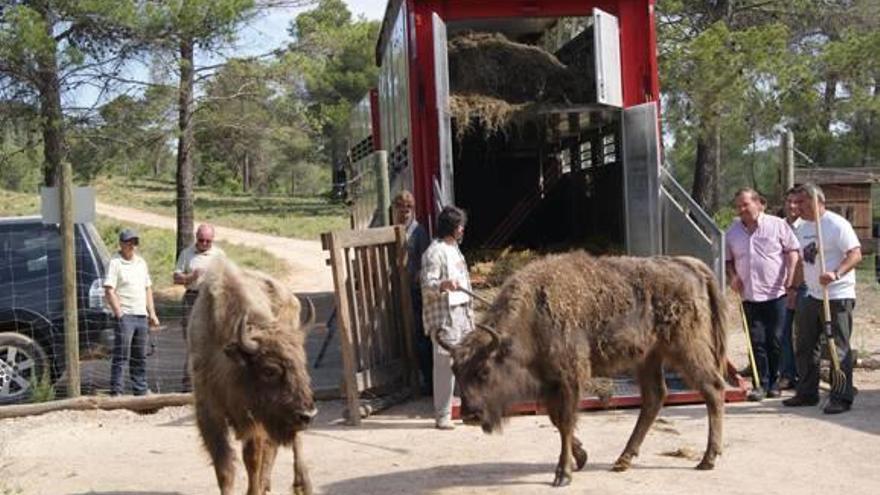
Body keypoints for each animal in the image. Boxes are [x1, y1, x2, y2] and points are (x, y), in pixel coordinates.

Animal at [187, 258, 318, 495]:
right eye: (269, 370)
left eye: (302, 365)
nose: (308, 414)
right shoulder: (209, 413)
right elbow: (224, 466)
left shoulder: (254, 418)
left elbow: (253, 461)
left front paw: (255, 489)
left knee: (294, 442)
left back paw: (302, 485)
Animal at [436, 254, 724, 486]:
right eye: (456, 372)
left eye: (484, 371)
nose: (470, 415)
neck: (533, 314)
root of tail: (689, 264)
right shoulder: (551, 384)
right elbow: (558, 421)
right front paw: (581, 457)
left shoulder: (569, 379)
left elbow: (565, 422)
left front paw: (563, 474)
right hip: (648, 358)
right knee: (654, 398)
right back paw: (623, 460)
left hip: (686, 348)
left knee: (713, 388)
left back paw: (708, 459)